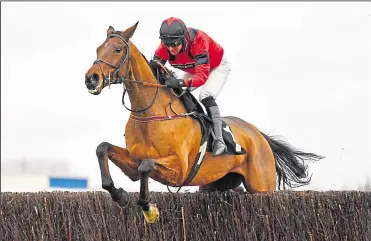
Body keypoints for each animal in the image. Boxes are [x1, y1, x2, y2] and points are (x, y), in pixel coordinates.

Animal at [85, 21, 326, 223]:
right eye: (97, 49)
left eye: (118, 49)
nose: (91, 79)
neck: (149, 114)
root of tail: (258, 135)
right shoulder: (133, 164)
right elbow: (102, 148)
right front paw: (119, 195)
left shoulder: (179, 169)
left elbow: (147, 165)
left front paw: (148, 209)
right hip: (214, 183)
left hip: (262, 186)